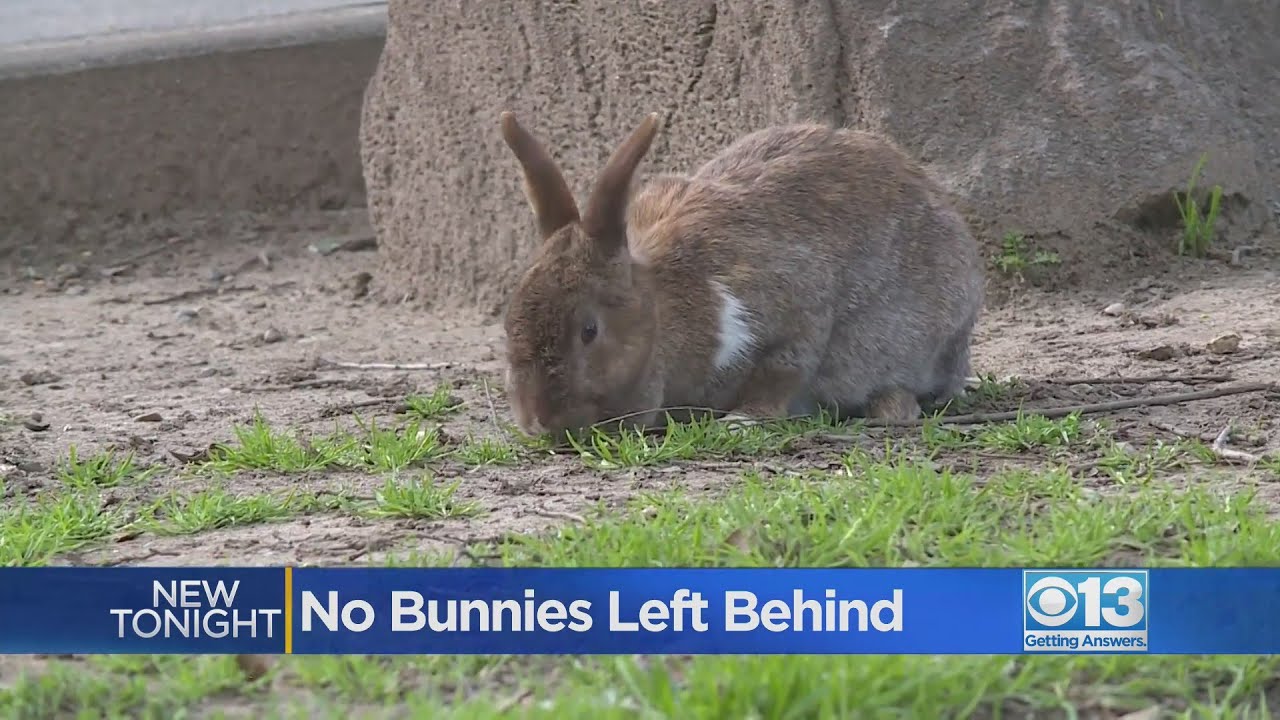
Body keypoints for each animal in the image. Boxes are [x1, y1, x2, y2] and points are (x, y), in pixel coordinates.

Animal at [496, 110, 984, 439]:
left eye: (589, 331)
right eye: (508, 323)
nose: (539, 421)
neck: (667, 306)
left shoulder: (796, 310)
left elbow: (784, 370)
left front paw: (741, 421)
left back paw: (891, 406)